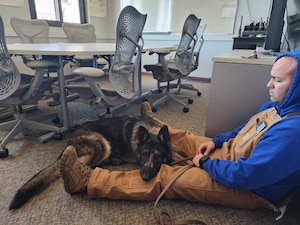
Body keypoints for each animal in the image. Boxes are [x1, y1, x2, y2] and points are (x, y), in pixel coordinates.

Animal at [8, 102, 171, 211]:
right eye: (143, 155)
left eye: (157, 157)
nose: (145, 177)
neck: (151, 130)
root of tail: (70, 139)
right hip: (101, 145)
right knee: (83, 163)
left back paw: (114, 159)